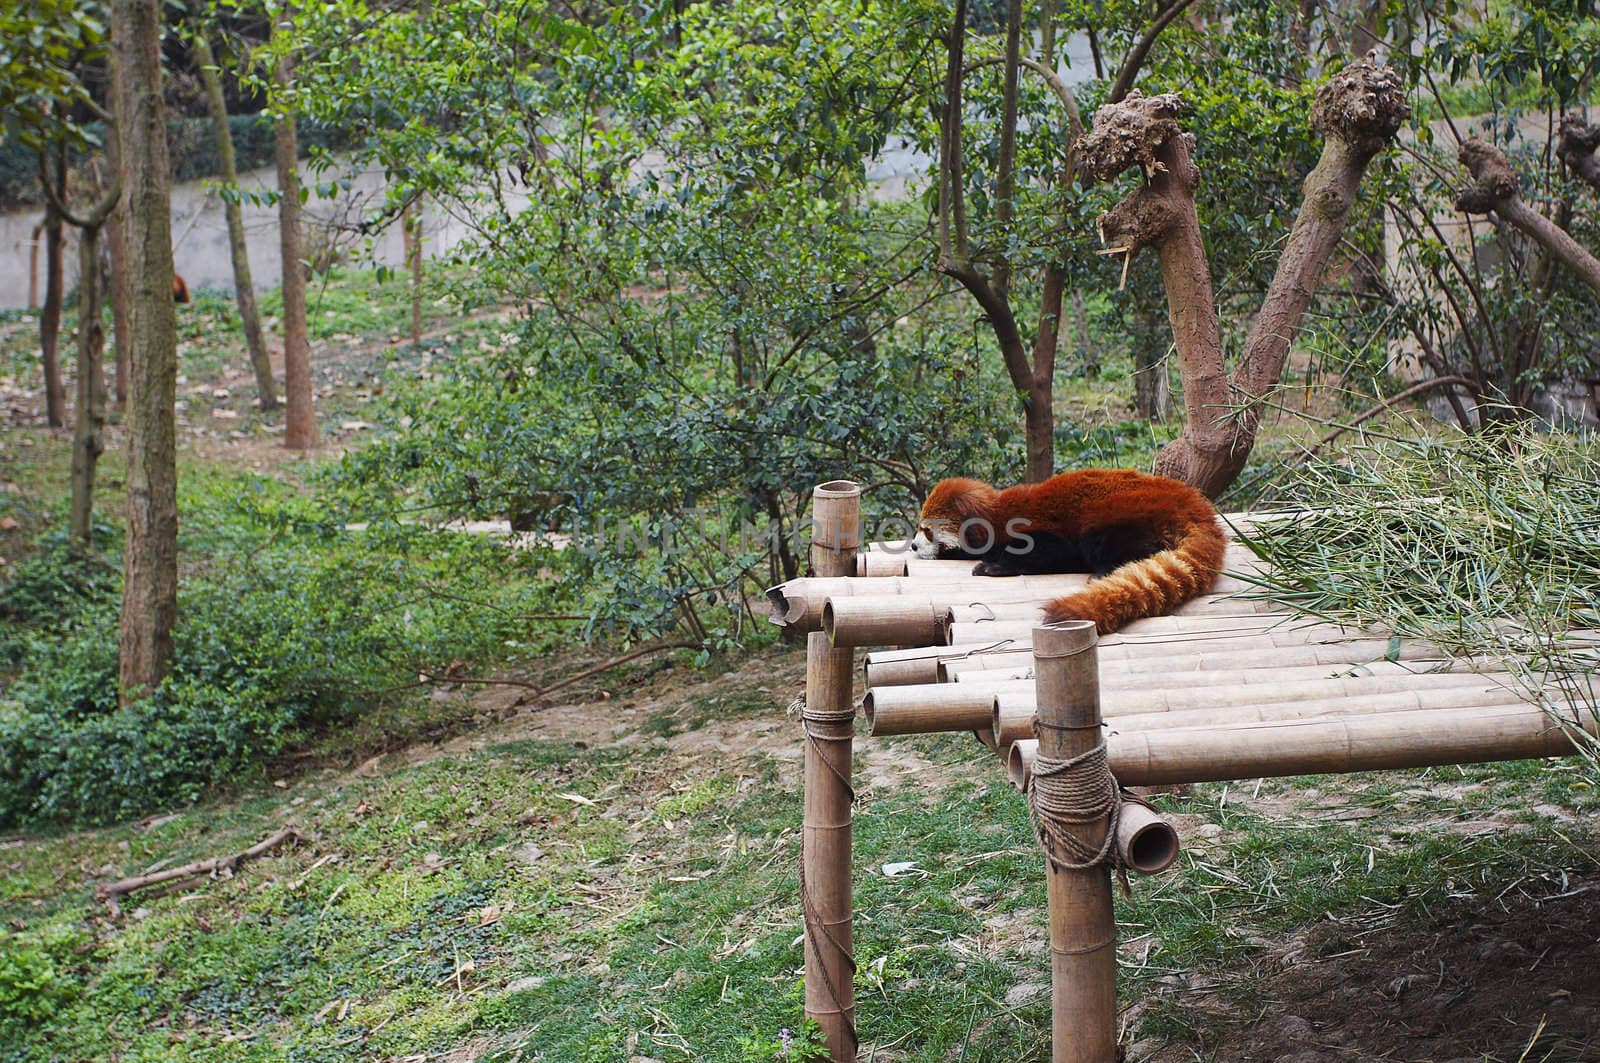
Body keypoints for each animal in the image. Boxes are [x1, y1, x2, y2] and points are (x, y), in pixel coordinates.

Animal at [915, 470, 1222, 633]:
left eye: (926, 530)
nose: (915, 545)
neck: (996, 515)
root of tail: (1190, 502)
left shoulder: (1043, 531)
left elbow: (1047, 553)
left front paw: (992, 566)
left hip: (1121, 514)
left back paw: (1104, 570)